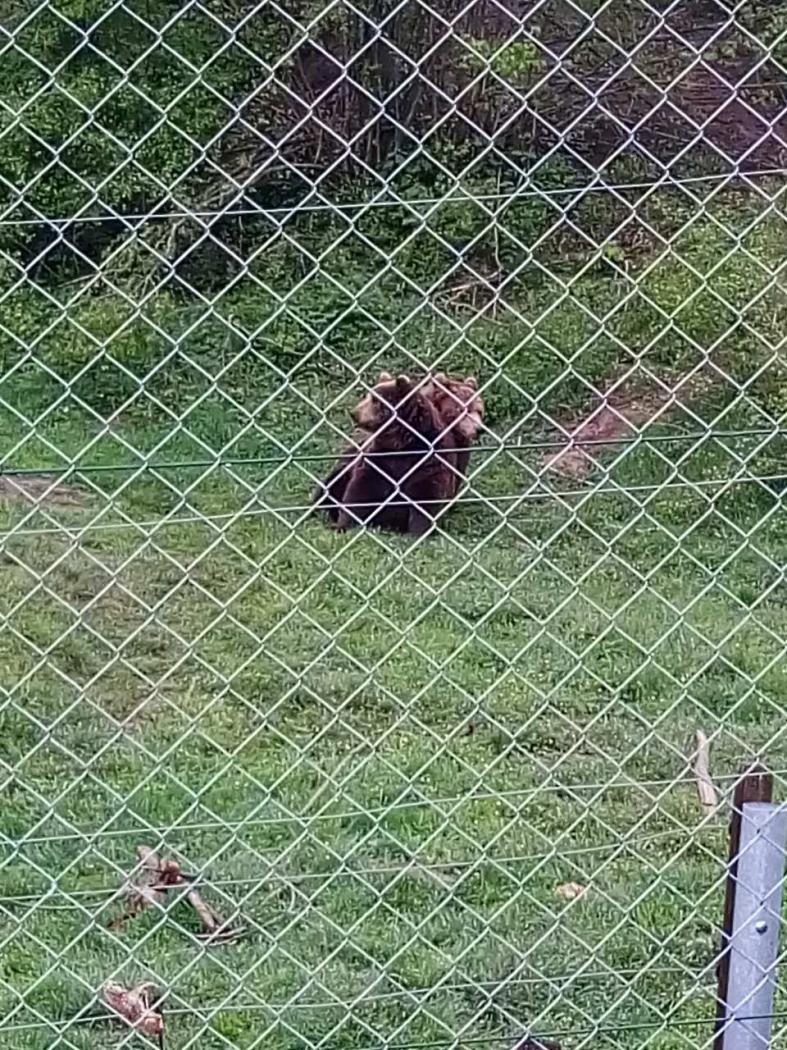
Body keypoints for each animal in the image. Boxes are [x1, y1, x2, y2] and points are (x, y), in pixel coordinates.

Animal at [313, 373, 462, 535]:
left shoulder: (429, 459)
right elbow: (360, 492)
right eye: (368, 396)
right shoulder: (379, 459)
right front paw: (342, 525)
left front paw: (418, 532)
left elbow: (425, 496)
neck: (402, 444)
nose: (354, 413)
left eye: (375, 400)